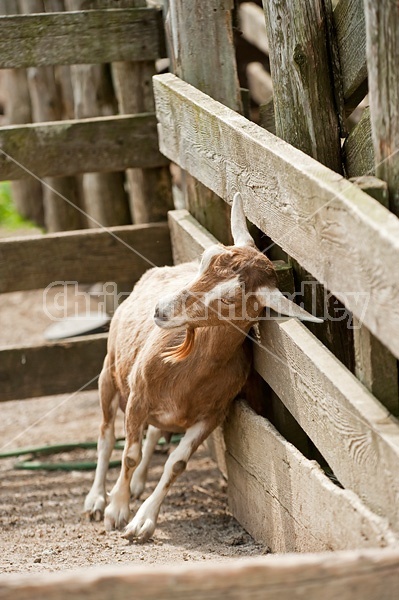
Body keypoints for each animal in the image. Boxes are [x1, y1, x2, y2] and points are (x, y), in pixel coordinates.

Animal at [85, 193, 322, 544]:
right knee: (105, 434)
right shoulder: (138, 398)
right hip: (109, 372)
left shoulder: (212, 416)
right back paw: (96, 500)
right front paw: (117, 511)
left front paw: (143, 521)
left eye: (229, 300)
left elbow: (176, 464)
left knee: (152, 433)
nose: (160, 310)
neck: (184, 373)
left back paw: (138, 484)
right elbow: (129, 454)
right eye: (204, 260)